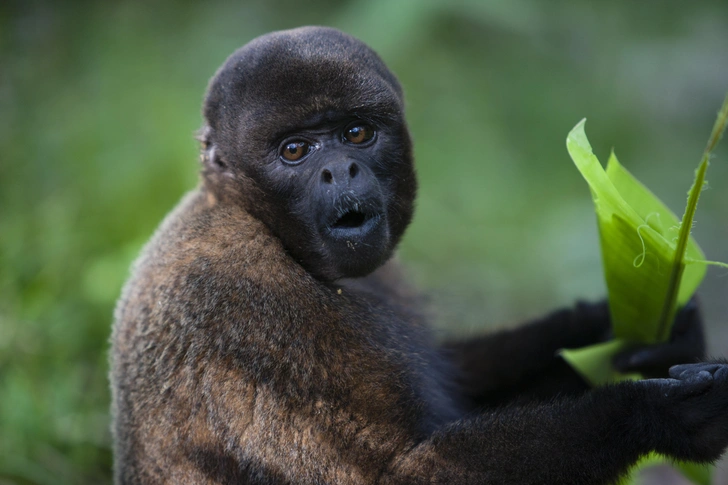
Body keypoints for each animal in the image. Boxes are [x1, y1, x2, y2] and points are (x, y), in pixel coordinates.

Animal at [111, 27, 728, 484]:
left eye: (357, 134)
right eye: (295, 150)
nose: (340, 170)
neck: (252, 217)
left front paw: (628, 332)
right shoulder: (247, 313)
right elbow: (395, 474)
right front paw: (656, 413)